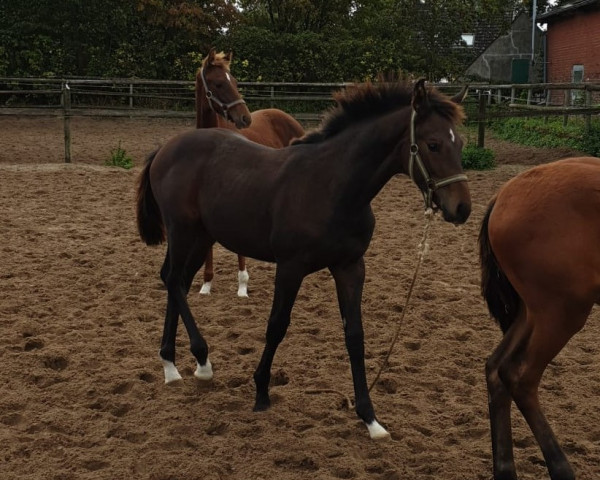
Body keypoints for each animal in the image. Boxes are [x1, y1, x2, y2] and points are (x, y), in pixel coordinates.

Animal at [137, 78, 474, 438]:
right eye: (433, 144)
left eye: (460, 144)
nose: (461, 209)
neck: (333, 187)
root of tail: (166, 148)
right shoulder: (290, 267)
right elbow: (276, 326)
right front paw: (261, 391)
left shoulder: (350, 267)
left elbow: (355, 335)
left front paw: (370, 417)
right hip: (183, 232)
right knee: (173, 280)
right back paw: (201, 363)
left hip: (202, 237)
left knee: (177, 283)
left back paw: (171, 364)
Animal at [480, 158, 600, 480]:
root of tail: (503, 195)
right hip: (562, 312)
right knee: (520, 377)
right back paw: (560, 467)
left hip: (533, 312)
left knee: (495, 368)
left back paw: (505, 469)